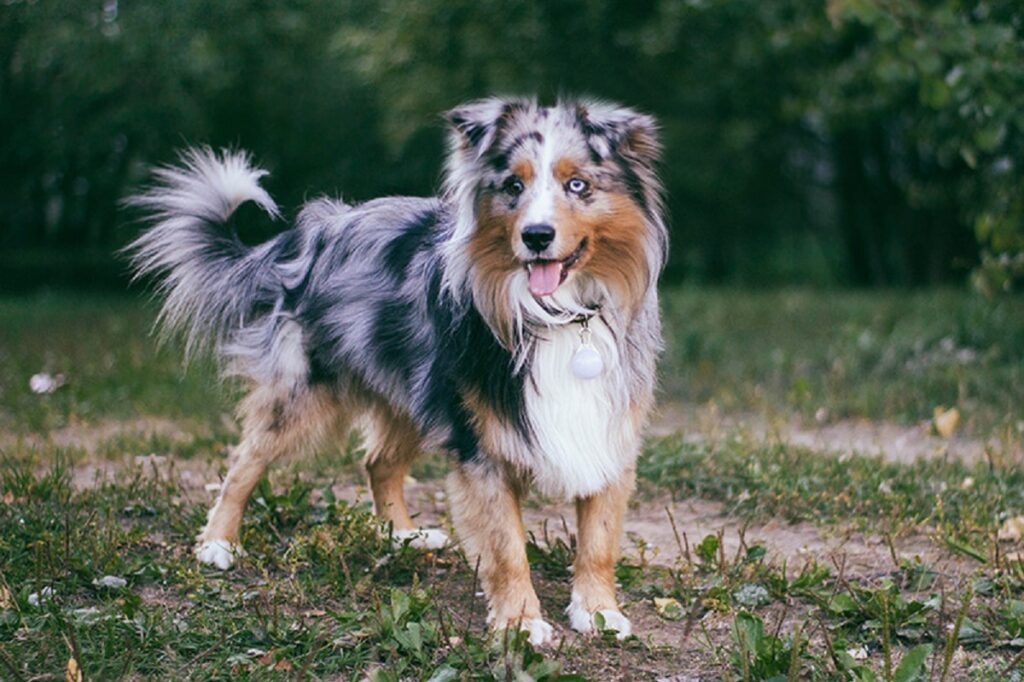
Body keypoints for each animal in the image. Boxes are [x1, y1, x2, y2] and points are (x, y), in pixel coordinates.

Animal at [123, 96, 667, 643]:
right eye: (513, 186)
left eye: (578, 185)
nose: (536, 236)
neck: (561, 316)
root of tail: (312, 235)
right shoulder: (481, 447)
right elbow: (507, 545)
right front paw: (519, 622)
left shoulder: (609, 429)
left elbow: (598, 540)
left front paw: (598, 611)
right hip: (308, 392)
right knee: (245, 461)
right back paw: (218, 543)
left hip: (415, 390)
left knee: (378, 463)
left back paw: (404, 536)